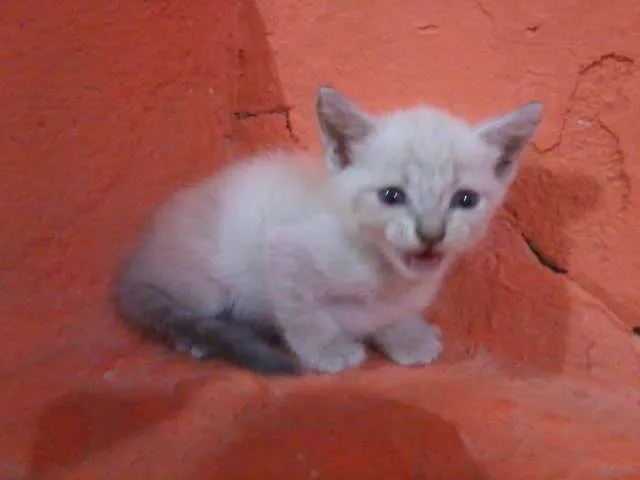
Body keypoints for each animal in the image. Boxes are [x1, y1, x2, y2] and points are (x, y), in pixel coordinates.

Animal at [114, 86, 540, 376]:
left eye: (465, 199)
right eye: (391, 195)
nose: (431, 233)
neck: (383, 271)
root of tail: (138, 258)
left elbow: (394, 314)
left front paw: (406, 335)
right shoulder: (284, 251)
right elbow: (304, 314)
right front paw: (329, 351)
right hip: (204, 286)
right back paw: (197, 339)